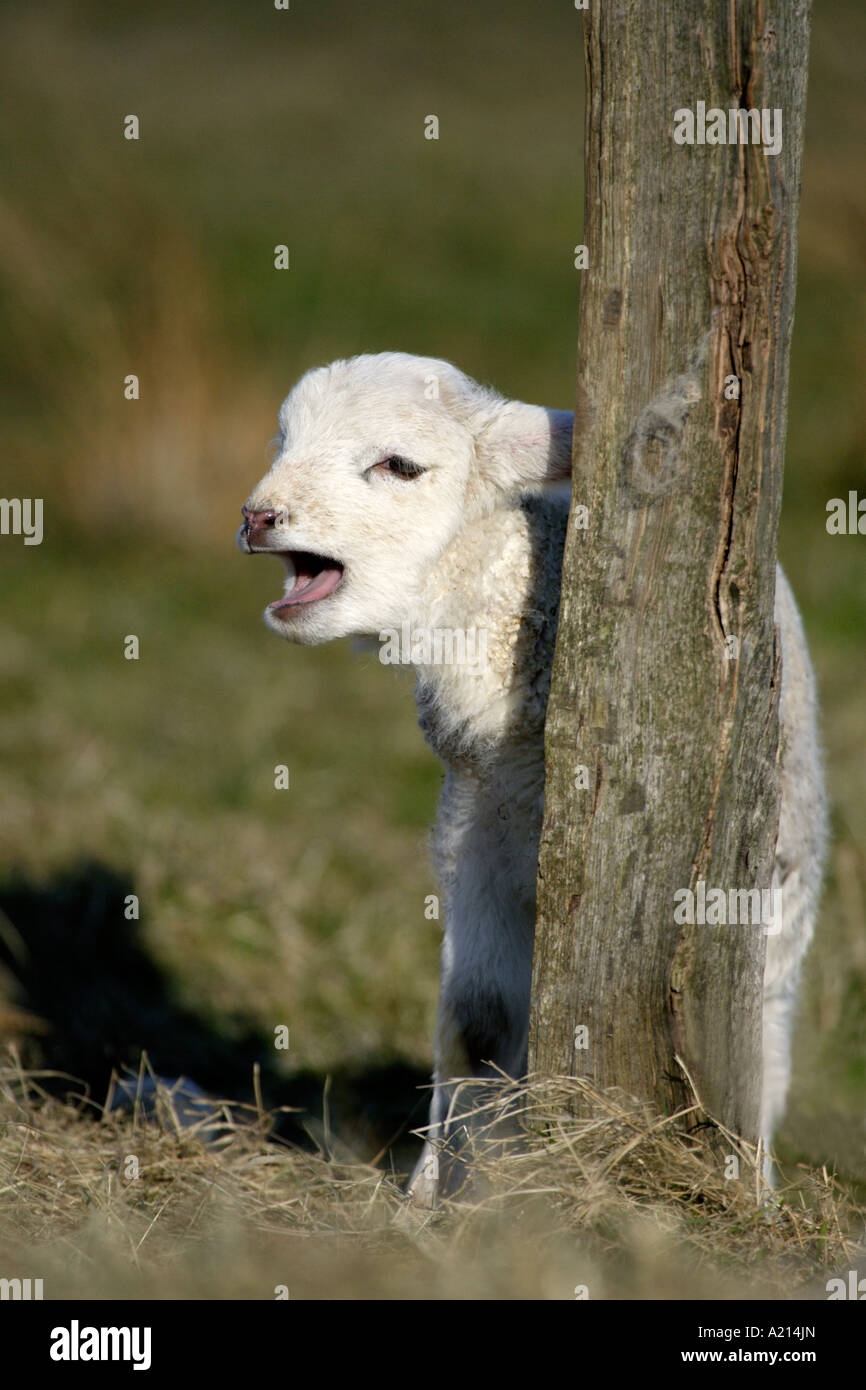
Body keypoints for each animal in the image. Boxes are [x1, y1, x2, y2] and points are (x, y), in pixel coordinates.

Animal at [238, 351, 826, 1206]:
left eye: (399, 466)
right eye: (284, 440)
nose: (258, 519)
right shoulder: (476, 836)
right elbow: (475, 1022)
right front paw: (439, 1191)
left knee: (767, 1042)